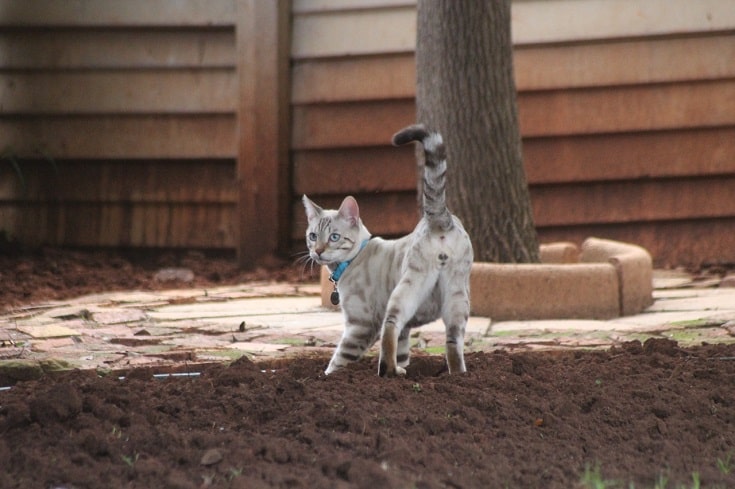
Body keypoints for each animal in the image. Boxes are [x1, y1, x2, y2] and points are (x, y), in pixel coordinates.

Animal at [302, 124, 474, 376]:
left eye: (334, 237)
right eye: (313, 236)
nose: (318, 251)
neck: (350, 262)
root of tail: (441, 219)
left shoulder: (360, 325)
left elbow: (338, 361)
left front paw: (327, 378)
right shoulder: (405, 332)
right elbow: (403, 353)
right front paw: (404, 369)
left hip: (408, 287)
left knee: (390, 327)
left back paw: (387, 371)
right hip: (457, 296)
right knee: (453, 341)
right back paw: (456, 375)